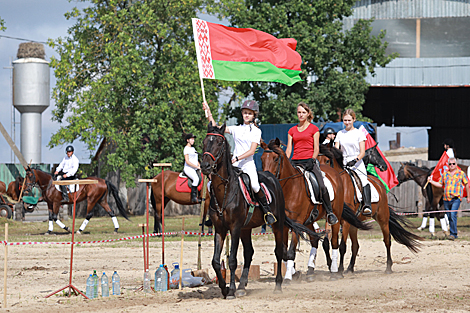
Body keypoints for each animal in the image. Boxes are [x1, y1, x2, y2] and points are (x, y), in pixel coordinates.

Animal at [200, 122, 322, 298]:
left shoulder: (234, 228)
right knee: (249, 253)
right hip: (246, 228)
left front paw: (231, 291)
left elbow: (232, 260)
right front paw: (224, 288)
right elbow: (216, 261)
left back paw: (278, 285)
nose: (205, 166)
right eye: (204, 142)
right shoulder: (220, 229)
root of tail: (273, 178)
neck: (225, 190)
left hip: (277, 225)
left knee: (279, 251)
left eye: (219, 142)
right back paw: (242, 287)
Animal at [258, 139, 370, 280]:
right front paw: (294, 273)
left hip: (336, 217)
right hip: (310, 220)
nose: (266, 179)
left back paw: (335, 271)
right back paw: (311, 270)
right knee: (316, 240)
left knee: (335, 242)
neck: (290, 188)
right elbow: (283, 251)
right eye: (262, 159)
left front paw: (288, 277)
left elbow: (291, 251)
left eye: (276, 158)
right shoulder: (283, 224)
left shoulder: (297, 223)